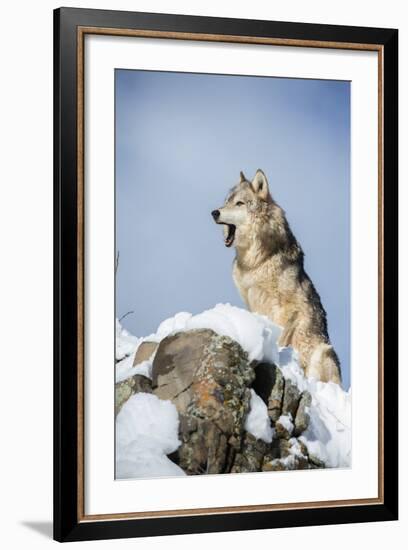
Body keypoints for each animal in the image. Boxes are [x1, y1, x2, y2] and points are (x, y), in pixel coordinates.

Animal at [212, 170, 342, 386]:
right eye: (226, 201)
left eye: (239, 203)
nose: (214, 212)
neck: (255, 262)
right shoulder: (251, 301)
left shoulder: (287, 308)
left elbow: (281, 334)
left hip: (323, 353)